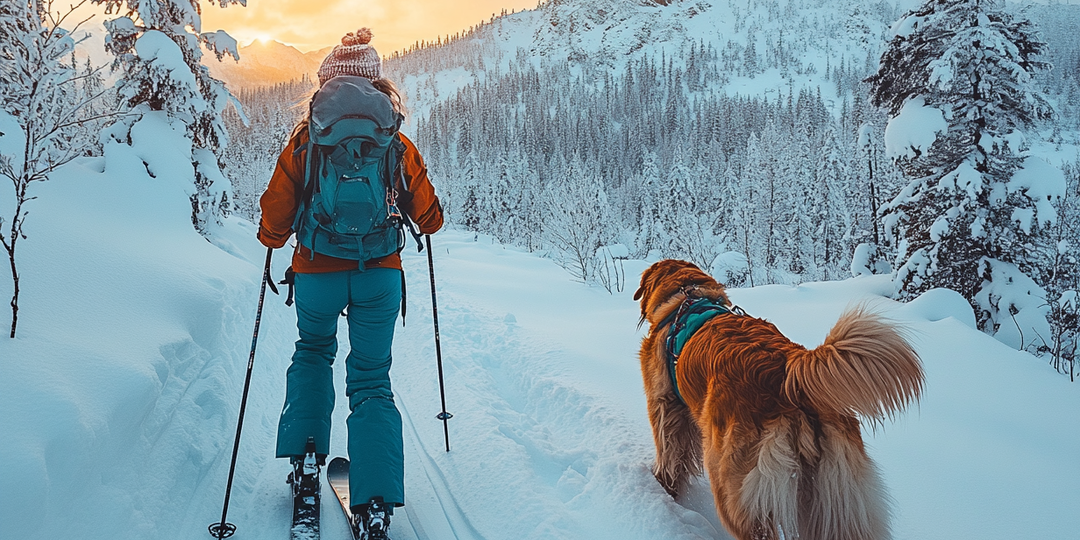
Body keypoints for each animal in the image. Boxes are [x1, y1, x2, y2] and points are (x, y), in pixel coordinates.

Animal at [630, 259, 928, 537]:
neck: (687, 297)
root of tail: (789, 372)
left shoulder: (664, 403)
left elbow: (669, 452)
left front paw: (662, 487)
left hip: (737, 489)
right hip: (839, 500)